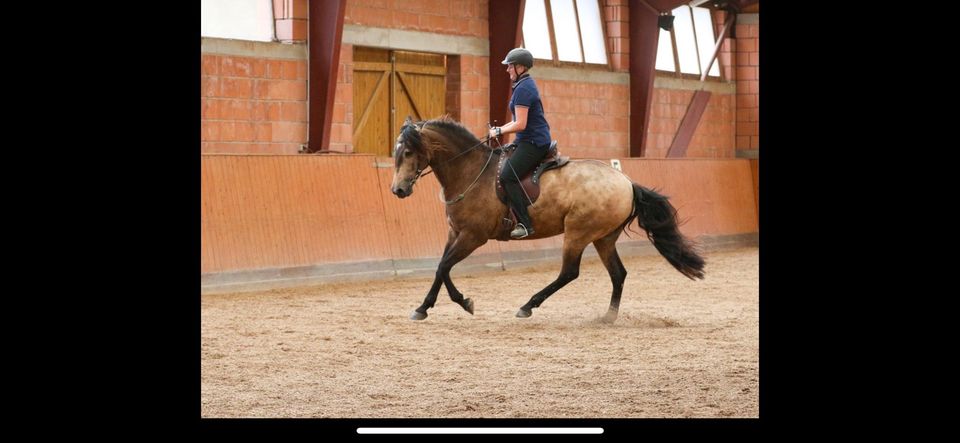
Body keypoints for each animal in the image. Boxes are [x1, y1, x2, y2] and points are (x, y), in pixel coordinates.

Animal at [390, 114, 704, 322]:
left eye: (409, 152)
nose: (398, 190)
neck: (470, 172)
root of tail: (627, 182)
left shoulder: (472, 237)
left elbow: (444, 267)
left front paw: (463, 302)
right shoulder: (455, 233)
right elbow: (440, 268)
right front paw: (424, 307)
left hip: (578, 233)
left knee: (569, 272)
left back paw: (528, 305)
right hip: (604, 237)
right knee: (618, 274)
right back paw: (608, 316)